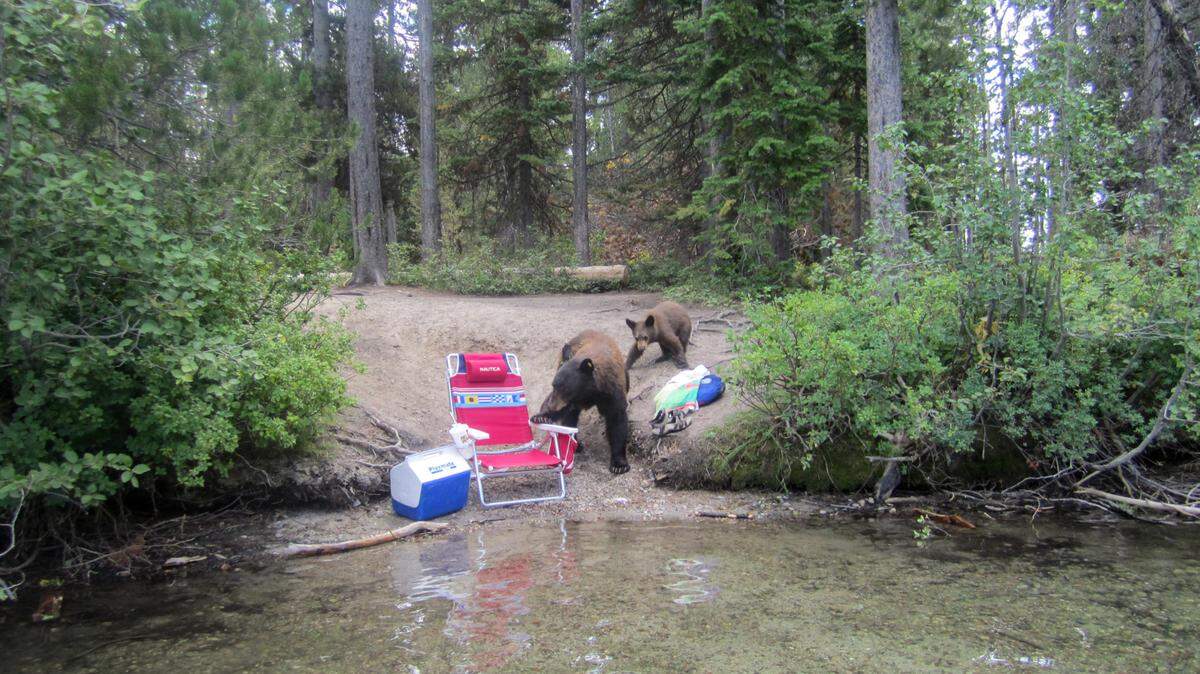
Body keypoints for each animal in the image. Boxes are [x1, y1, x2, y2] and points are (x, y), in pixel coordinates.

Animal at [530, 330, 631, 475]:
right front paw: (541, 417)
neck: (590, 392)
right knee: (571, 418)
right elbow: (564, 413)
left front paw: (619, 464)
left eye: (565, 388)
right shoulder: (568, 400)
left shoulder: (611, 391)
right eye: (554, 385)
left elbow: (617, 419)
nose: (552, 406)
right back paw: (576, 444)